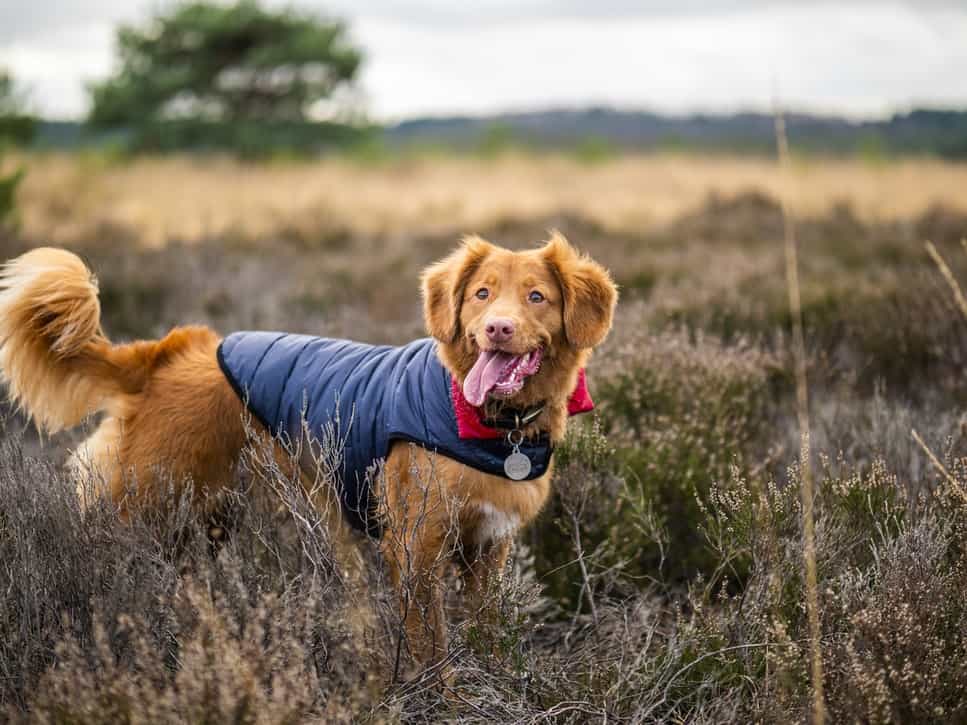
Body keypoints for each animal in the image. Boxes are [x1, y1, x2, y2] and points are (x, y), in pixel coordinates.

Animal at [0, 232, 620, 668]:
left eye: (536, 297)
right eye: (481, 294)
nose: (497, 329)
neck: (486, 422)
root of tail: (166, 354)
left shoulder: (488, 549)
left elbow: (487, 633)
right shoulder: (416, 548)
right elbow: (432, 649)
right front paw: (444, 700)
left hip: (207, 520)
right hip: (145, 507)